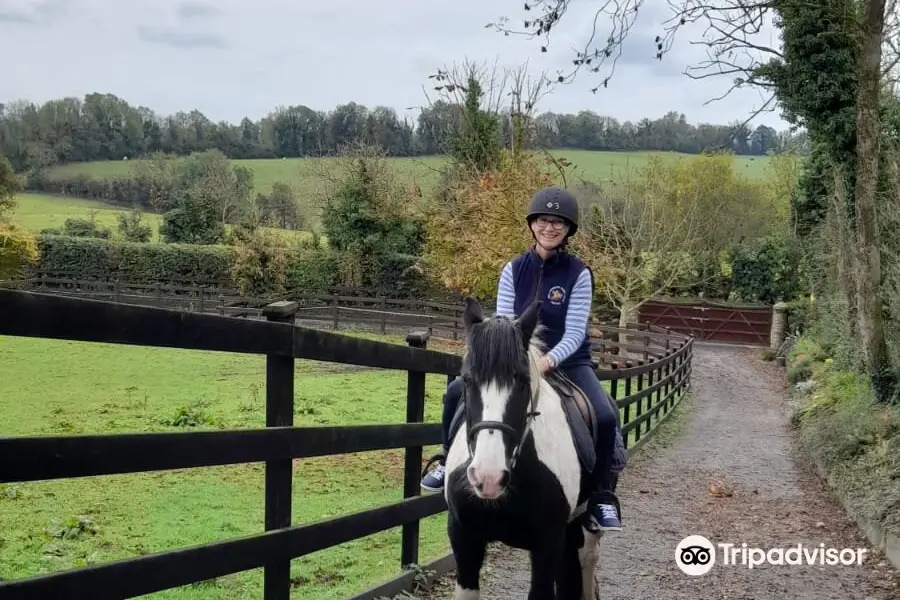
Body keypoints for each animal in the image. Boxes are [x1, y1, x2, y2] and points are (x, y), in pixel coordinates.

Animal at [444, 298, 612, 596]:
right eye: (467, 379)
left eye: (523, 381)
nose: (488, 477)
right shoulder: (464, 538)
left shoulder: (548, 542)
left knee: (587, 558)